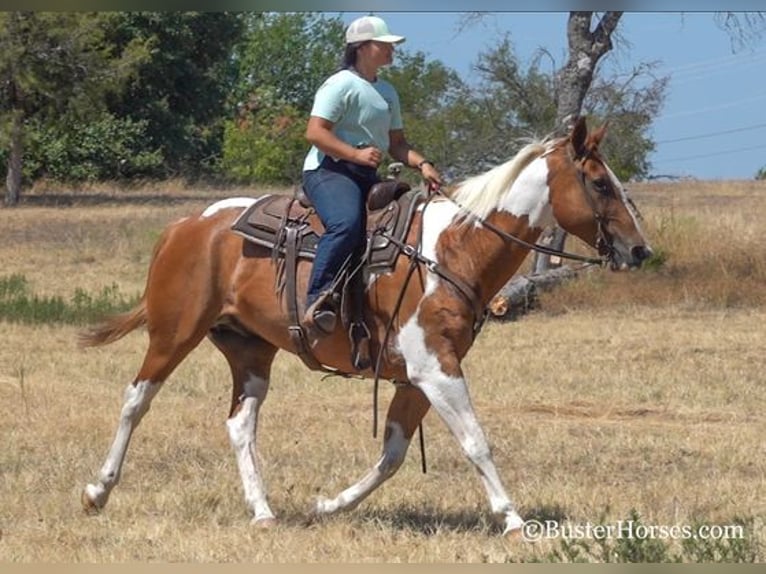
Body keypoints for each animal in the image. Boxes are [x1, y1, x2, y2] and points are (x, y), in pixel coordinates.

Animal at [79, 118, 656, 540]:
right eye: (600, 183)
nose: (639, 250)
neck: (452, 250)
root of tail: (186, 225)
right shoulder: (436, 368)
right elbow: (476, 441)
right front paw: (513, 520)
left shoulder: (415, 376)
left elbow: (392, 455)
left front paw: (326, 505)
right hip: (174, 334)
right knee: (135, 400)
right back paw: (97, 492)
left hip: (251, 353)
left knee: (240, 424)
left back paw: (263, 512)